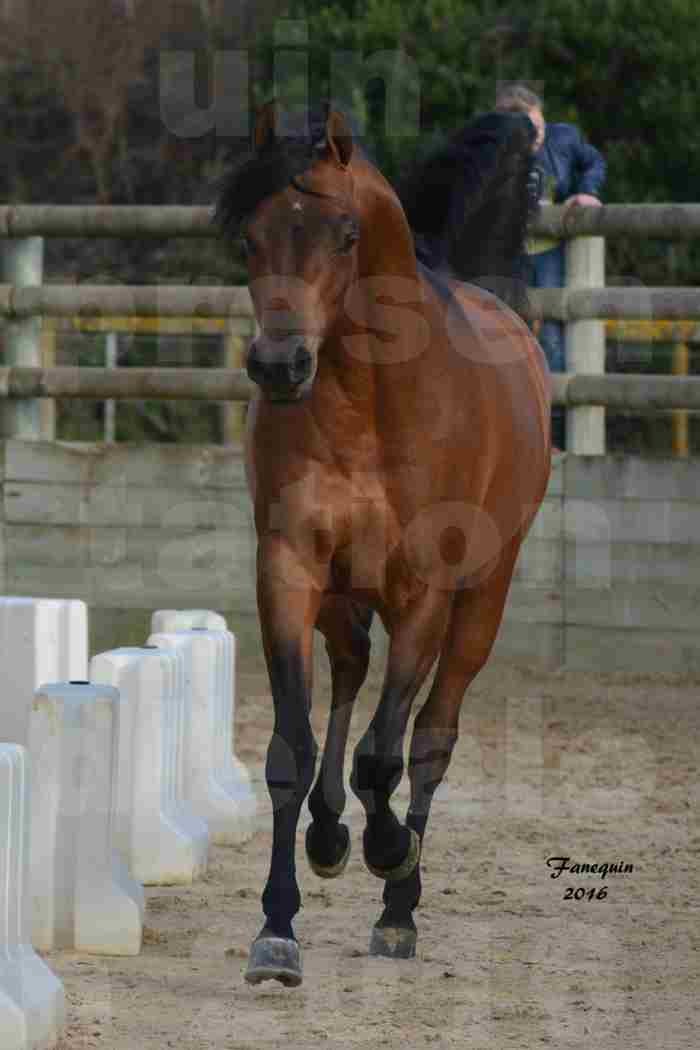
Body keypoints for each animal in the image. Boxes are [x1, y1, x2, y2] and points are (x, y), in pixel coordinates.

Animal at [215, 98, 554, 982]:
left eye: (343, 234)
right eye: (249, 237)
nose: (279, 365)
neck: (370, 400)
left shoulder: (423, 590)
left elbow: (387, 752)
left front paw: (392, 852)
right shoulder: (289, 571)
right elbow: (292, 748)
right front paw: (277, 927)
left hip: (480, 602)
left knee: (431, 735)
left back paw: (399, 904)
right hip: (342, 597)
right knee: (347, 678)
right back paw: (332, 835)